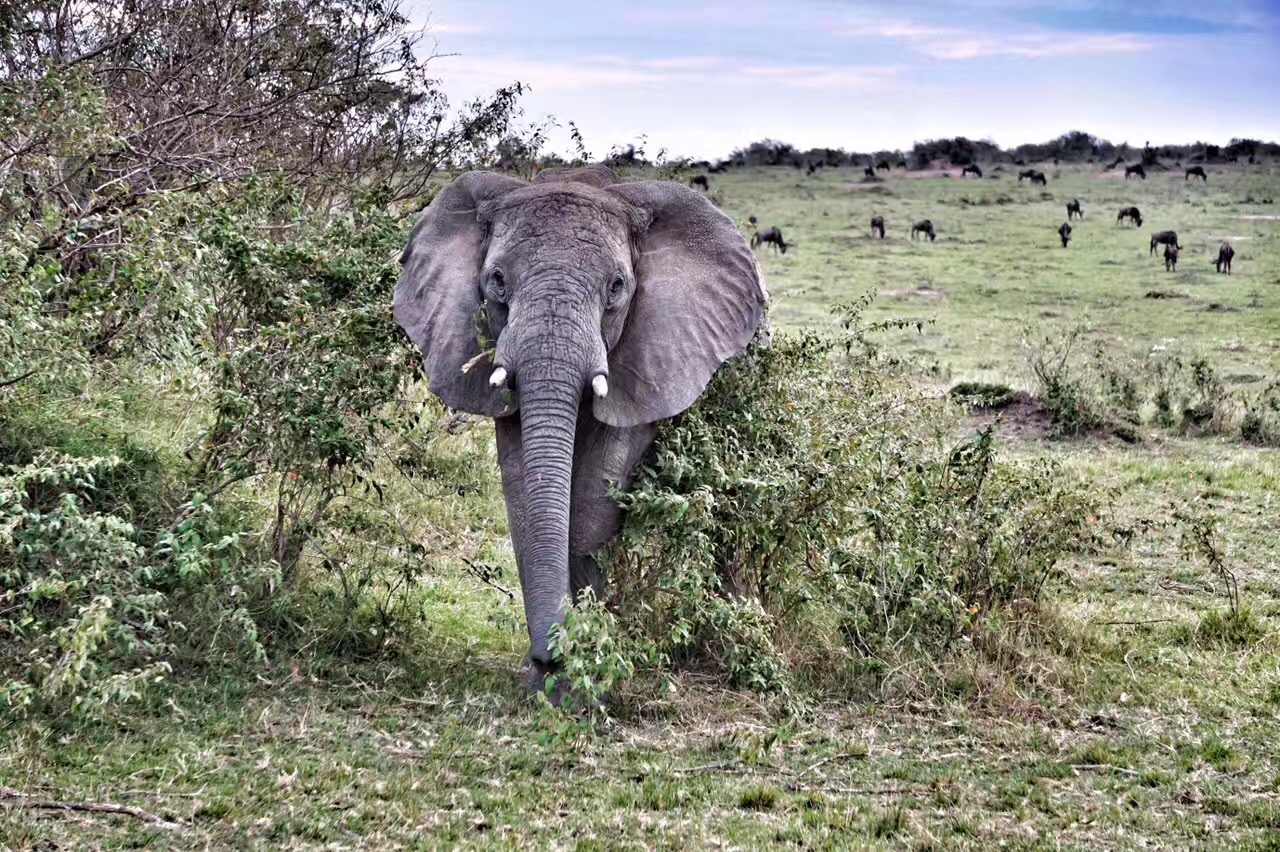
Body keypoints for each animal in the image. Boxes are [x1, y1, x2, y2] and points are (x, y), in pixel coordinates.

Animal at [391, 162, 768, 695]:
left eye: (616, 287)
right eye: (496, 281)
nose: (549, 657)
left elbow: (594, 495)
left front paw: (582, 676)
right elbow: (522, 486)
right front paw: (548, 677)